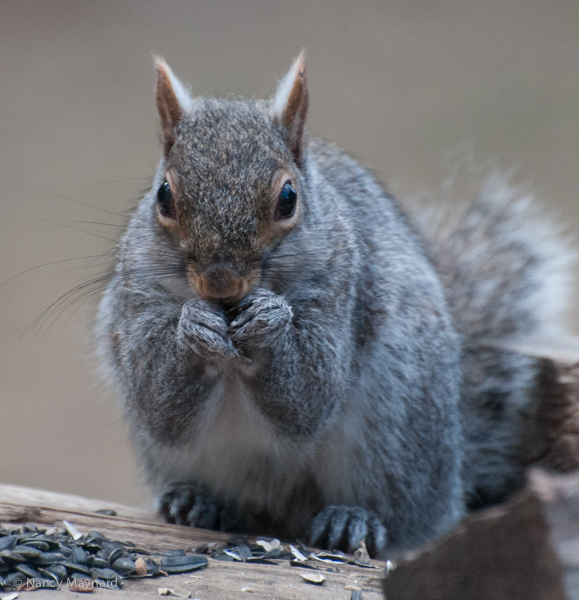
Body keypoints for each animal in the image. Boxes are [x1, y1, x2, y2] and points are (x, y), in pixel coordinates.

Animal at [95, 54, 576, 556]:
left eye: (288, 198)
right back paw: (195, 501)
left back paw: (353, 520)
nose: (221, 282)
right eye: (164, 195)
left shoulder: (343, 290)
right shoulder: (137, 301)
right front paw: (194, 328)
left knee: (402, 516)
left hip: (399, 427)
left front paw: (269, 323)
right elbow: (158, 402)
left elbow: (310, 395)